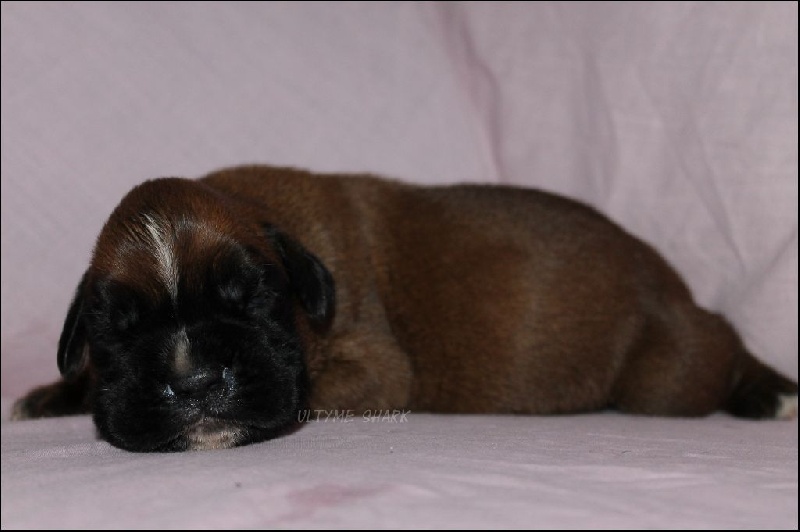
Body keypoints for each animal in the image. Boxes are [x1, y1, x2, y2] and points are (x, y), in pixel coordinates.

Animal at [11, 165, 798, 452]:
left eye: (254, 301)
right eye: (116, 335)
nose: (195, 382)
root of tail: (671, 284)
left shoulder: (377, 370)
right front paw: (55, 393)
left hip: (664, 375)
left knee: (719, 347)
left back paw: (770, 391)